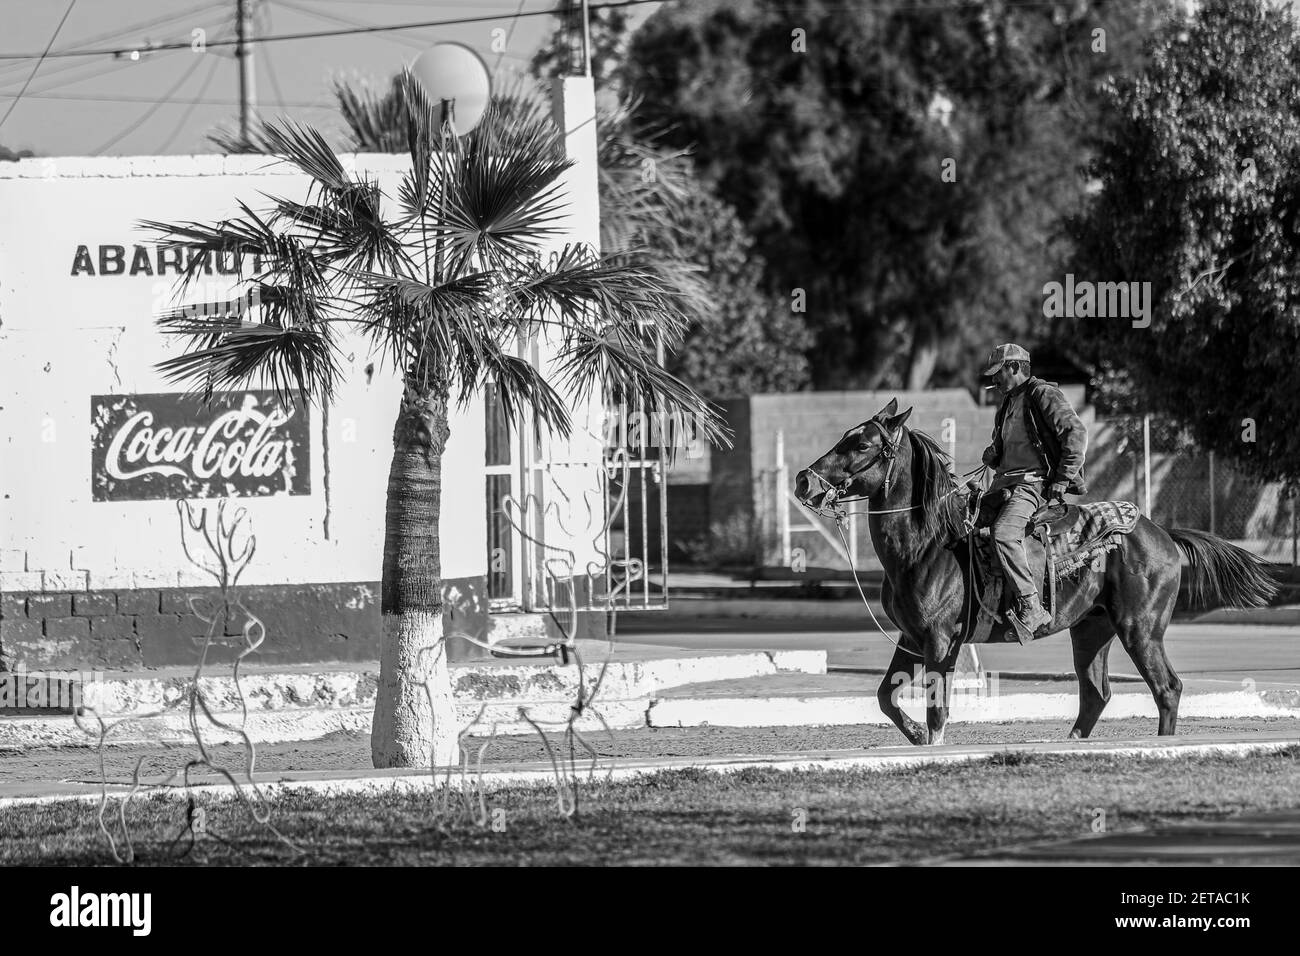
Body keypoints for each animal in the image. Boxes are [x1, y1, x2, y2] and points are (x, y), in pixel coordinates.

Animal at [790, 400, 1279, 743]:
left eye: (862, 445)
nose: (804, 481)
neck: (928, 544)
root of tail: (1161, 532)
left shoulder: (940, 642)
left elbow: (937, 712)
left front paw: (927, 740)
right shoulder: (911, 639)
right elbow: (885, 697)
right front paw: (911, 734)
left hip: (1140, 629)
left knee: (1167, 688)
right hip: (1091, 631)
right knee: (1095, 695)